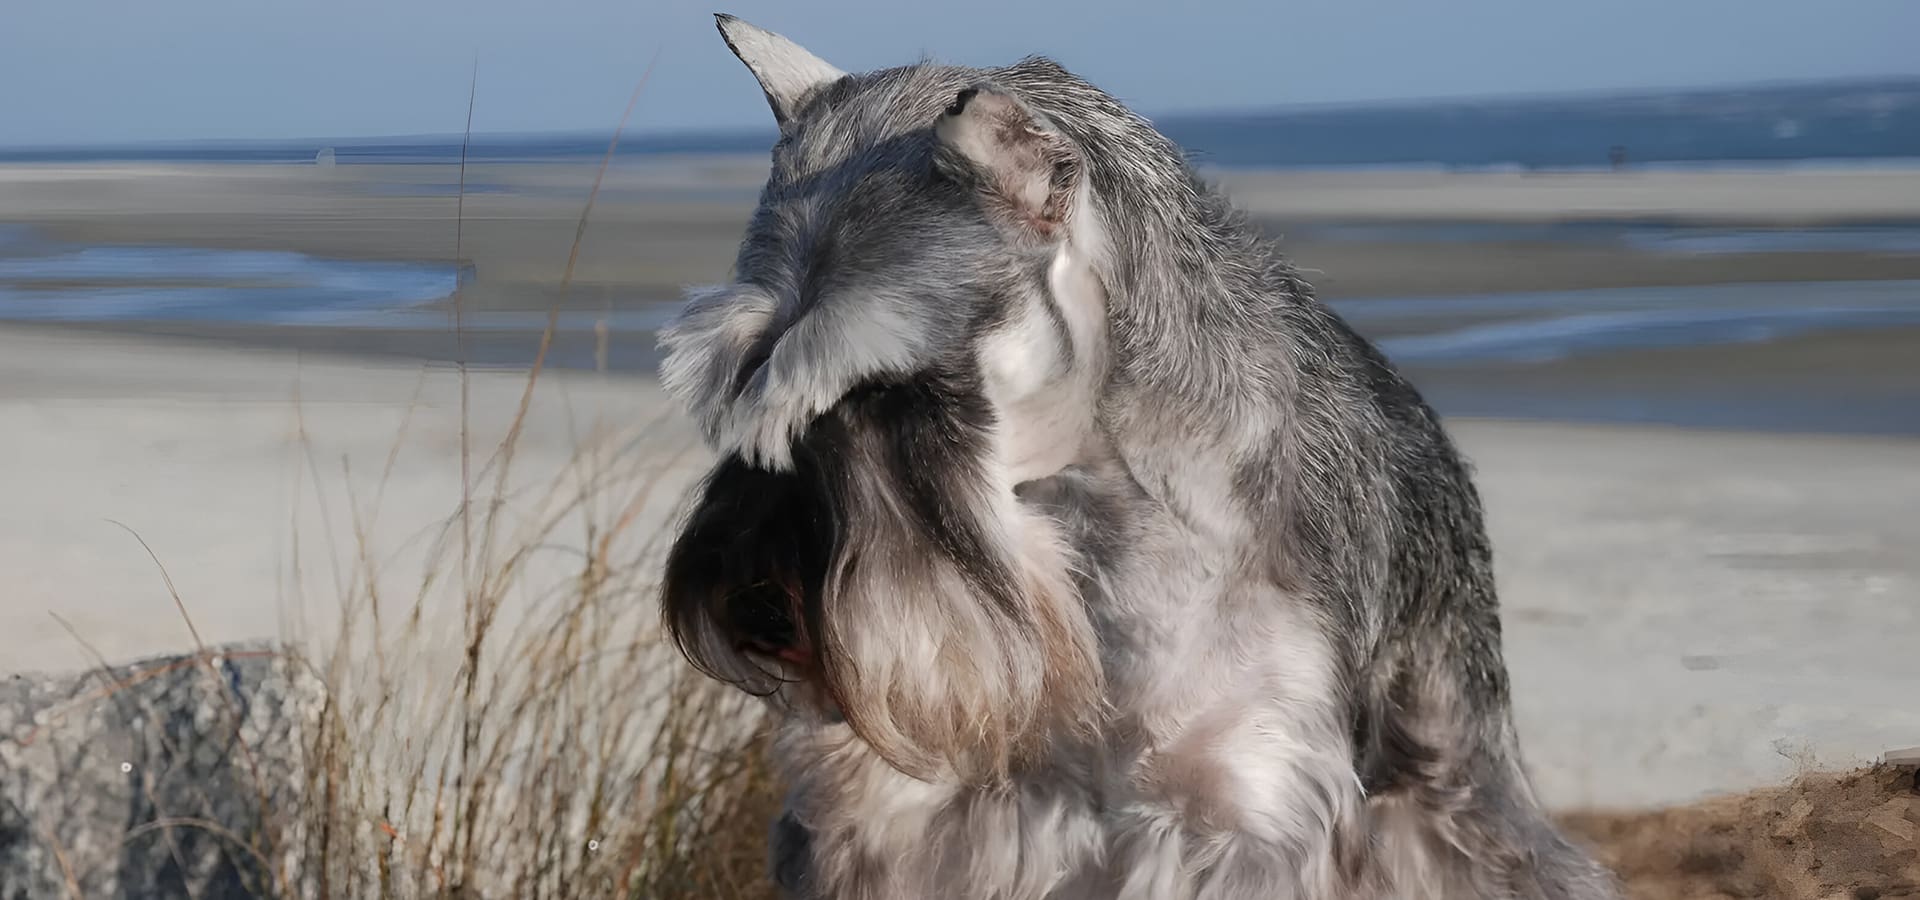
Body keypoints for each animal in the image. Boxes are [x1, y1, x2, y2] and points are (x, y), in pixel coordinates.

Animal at [660, 14, 1620, 898]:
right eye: (738, 379)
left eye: (884, 389)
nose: (746, 601)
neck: (1087, 538)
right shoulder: (912, 815)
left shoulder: (1247, 815)